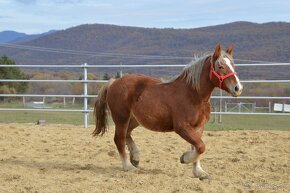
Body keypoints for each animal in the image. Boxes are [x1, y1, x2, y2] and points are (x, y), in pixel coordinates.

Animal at [92, 44, 242, 180]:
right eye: (220, 66)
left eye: (233, 65)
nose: (238, 88)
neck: (193, 94)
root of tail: (113, 82)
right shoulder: (182, 127)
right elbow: (200, 146)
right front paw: (184, 158)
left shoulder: (198, 127)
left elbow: (198, 147)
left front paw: (199, 172)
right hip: (121, 117)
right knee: (119, 138)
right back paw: (128, 166)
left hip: (135, 119)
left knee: (127, 134)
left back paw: (135, 158)